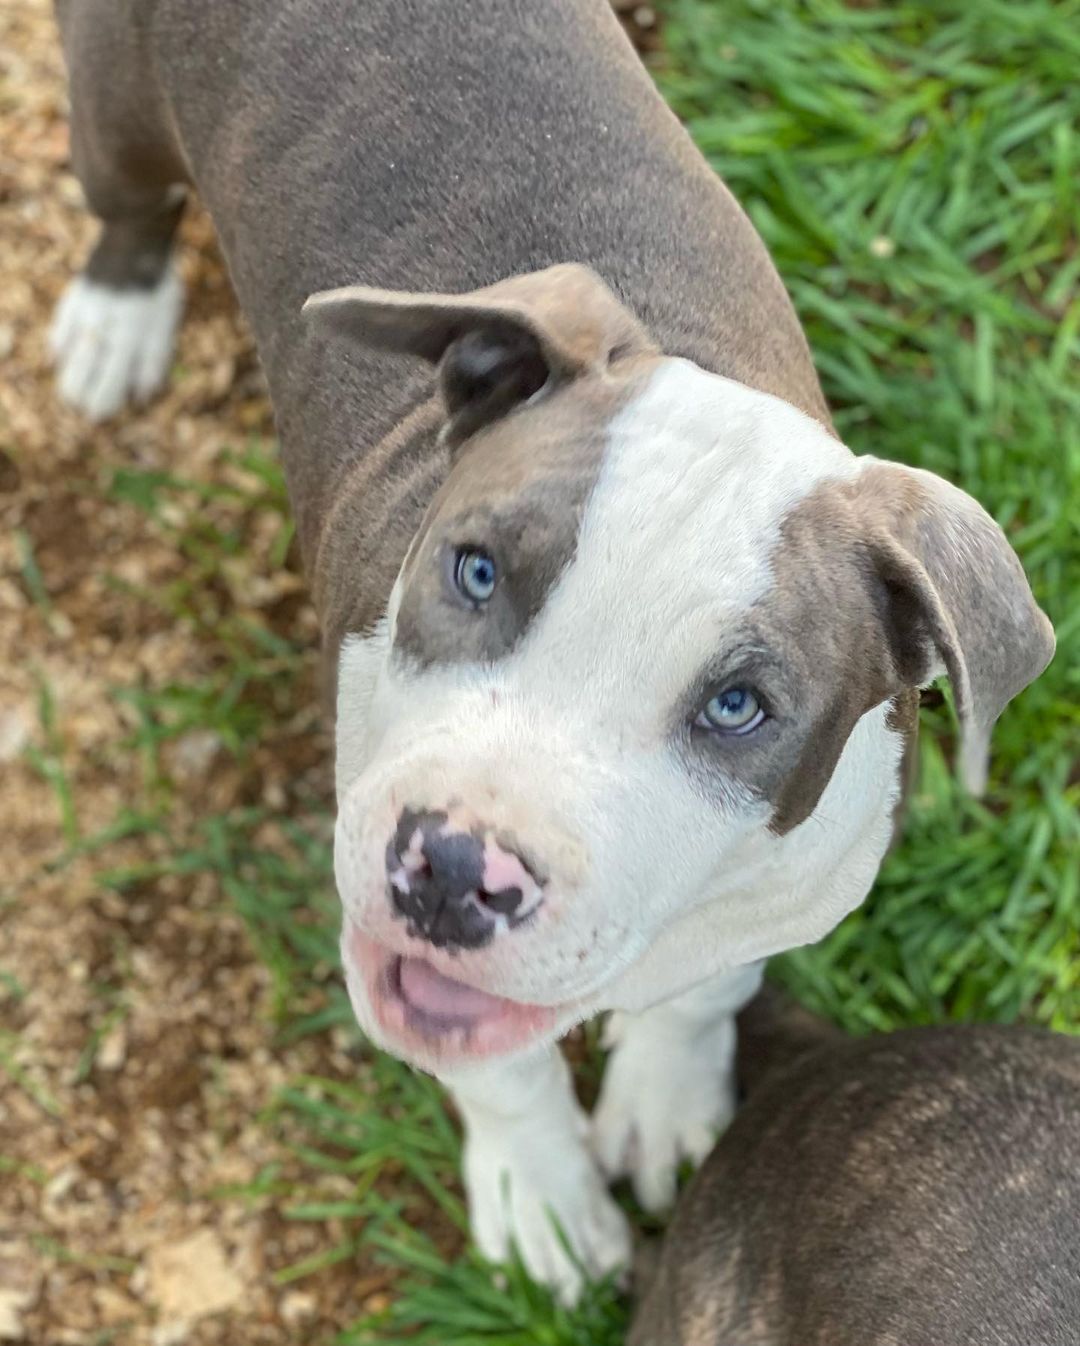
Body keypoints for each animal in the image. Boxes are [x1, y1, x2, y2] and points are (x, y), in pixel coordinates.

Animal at [50, 0, 1050, 1302]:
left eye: (739, 706)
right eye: (474, 570)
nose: (452, 867)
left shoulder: (794, 887)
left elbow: (704, 991)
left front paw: (667, 1100)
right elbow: (497, 1066)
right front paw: (546, 1198)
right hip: (114, 101)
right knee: (128, 196)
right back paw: (115, 318)